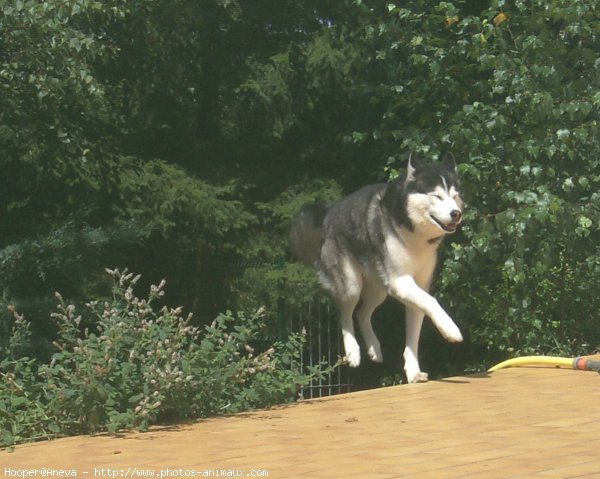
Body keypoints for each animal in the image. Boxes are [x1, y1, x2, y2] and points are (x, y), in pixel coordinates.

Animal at [290, 154, 464, 382]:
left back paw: (374, 347)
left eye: (454, 196)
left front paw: (413, 371)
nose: (456, 213)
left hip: (378, 289)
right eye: (436, 196)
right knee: (345, 315)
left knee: (362, 313)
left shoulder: (418, 286)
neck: (412, 230)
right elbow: (432, 302)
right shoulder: (401, 282)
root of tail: (329, 212)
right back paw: (353, 351)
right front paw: (450, 329)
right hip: (352, 285)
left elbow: (414, 331)